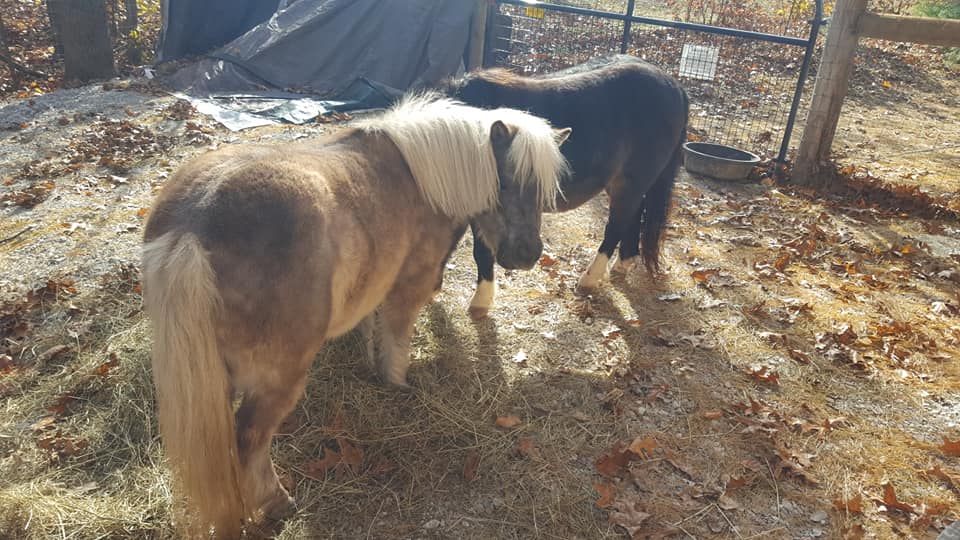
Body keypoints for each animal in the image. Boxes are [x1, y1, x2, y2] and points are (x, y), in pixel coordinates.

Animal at [141, 92, 570, 538]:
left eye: (543, 192)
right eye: (505, 183)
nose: (528, 255)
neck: (423, 177)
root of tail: (193, 226)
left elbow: (370, 328)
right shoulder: (408, 286)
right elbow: (396, 336)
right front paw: (396, 382)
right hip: (278, 376)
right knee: (249, 438)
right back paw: (276, 502)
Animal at [443, 54, 689, 319]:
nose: (526, 255)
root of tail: (675, 86)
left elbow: (481, 252)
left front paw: (481, 302)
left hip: (632, 184)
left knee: (616, 227)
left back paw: (589, 279)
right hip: (625, 184)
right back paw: (622, 265)